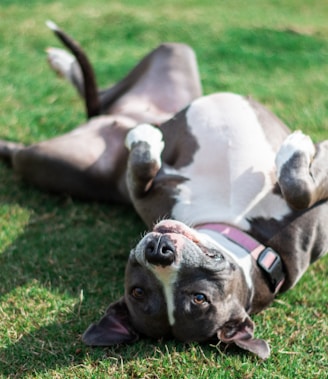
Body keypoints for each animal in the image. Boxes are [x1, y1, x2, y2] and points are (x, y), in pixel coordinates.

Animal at [0, 22, 326, 360]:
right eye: (138, 291)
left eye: (199, 298)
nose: (158, 252)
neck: (234, 225)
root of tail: (106, 116)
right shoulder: (146, 191)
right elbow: (142, 168)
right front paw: (146, 139)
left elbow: (300, 191)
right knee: (102, 96)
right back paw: (64, 66)